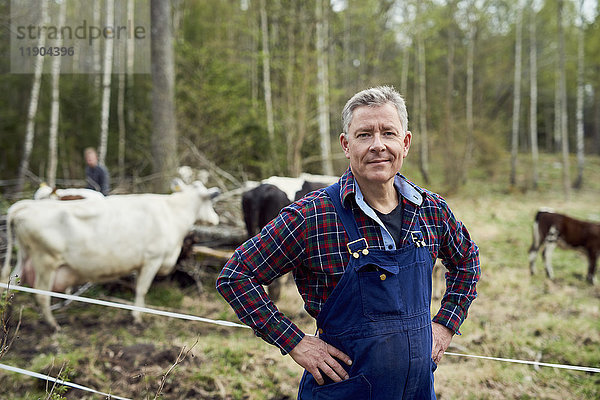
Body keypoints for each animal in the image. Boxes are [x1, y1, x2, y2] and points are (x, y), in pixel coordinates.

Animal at [0, 181, 220, 328]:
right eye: (210, 200)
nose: (216, 219)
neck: (172, 213)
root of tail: (25, 206)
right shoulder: (152, 259)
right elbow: (142, 290)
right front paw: (137, 318)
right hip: (46, 262)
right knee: (41, 295)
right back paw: (53, 326)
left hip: (25, 257)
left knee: (10, 286)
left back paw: (7, 320)